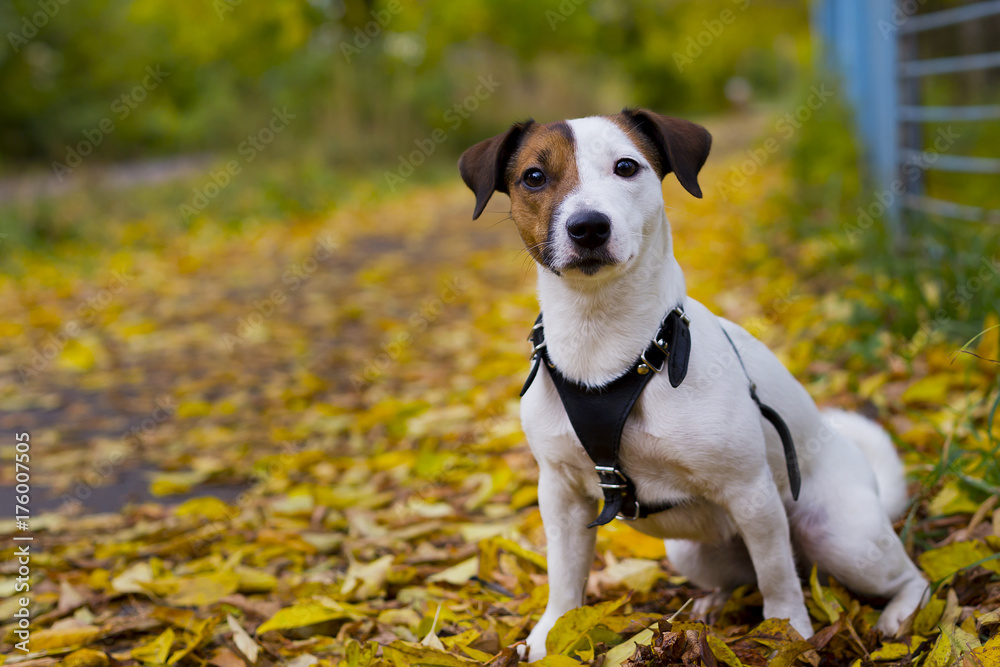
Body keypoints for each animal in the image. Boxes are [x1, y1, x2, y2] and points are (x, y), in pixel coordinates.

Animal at [460, 109, 928, 664]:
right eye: (534, 176)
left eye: (626, 166)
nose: (589, 226)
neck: (603, 347)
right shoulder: (560, 494)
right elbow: (564, 575)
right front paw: (552, 633)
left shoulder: (751, 491)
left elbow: (778, 579)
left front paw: (789, 632)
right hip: (691, 552)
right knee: (744, 576)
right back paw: (714, 602)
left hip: (842, 538)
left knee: (893, 575)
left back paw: (902, 613)